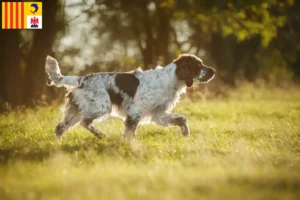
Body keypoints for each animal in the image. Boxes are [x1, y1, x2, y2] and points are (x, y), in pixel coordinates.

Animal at [45, 54, 216, 140]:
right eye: (198, 65)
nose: (213, 71)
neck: (170, 78)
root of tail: (81, 79)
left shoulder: (159, 113)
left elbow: (182, 119)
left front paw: (186, 133)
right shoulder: (135, 111)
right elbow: (130, 132)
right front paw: (131, 146)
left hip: (75, 111)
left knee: (60, 127)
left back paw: (58, 147)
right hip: (101, 107)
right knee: (84, 122)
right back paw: (100, 135)